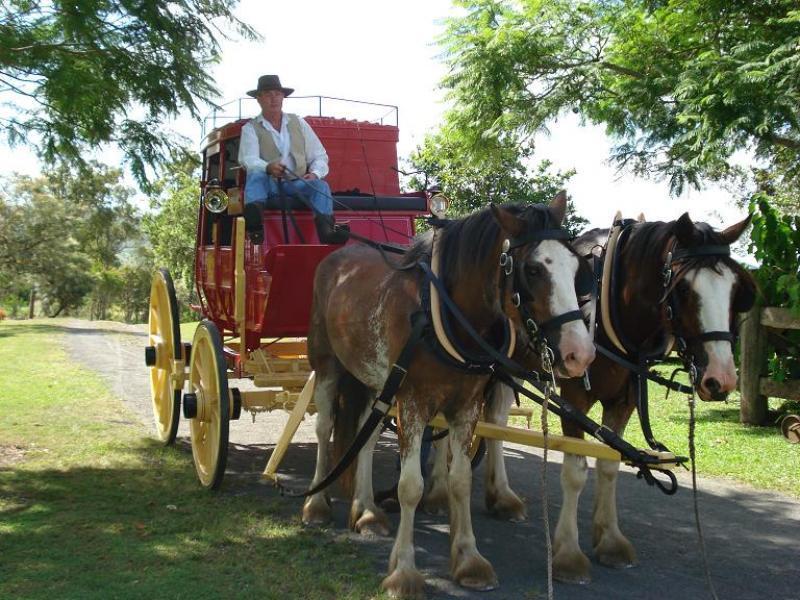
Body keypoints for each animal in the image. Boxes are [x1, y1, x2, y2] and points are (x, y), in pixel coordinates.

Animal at [304, 195, 596, 596]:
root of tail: (339, 257)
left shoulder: (466, 406)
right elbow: (410, 486)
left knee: (365, 436)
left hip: (374, 379)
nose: (579, 353)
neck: (440, 312)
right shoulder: (412, 403)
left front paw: (469, 560)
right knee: (324, 428)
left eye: (576, 267)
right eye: (534, 269)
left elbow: (460, 480)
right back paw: (316, 503)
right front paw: (404, 572)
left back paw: (365, 512)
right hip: (327, 364)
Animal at [472, 212, 760, 584]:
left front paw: (609, 539)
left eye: (736, 291)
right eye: (683, 289)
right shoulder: (576, 396)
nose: (721, 378)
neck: (607, 306)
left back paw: (500, 497)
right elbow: (576, 470)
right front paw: (568, 553)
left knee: (495, 419)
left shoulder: (624, 401)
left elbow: (609, 464)